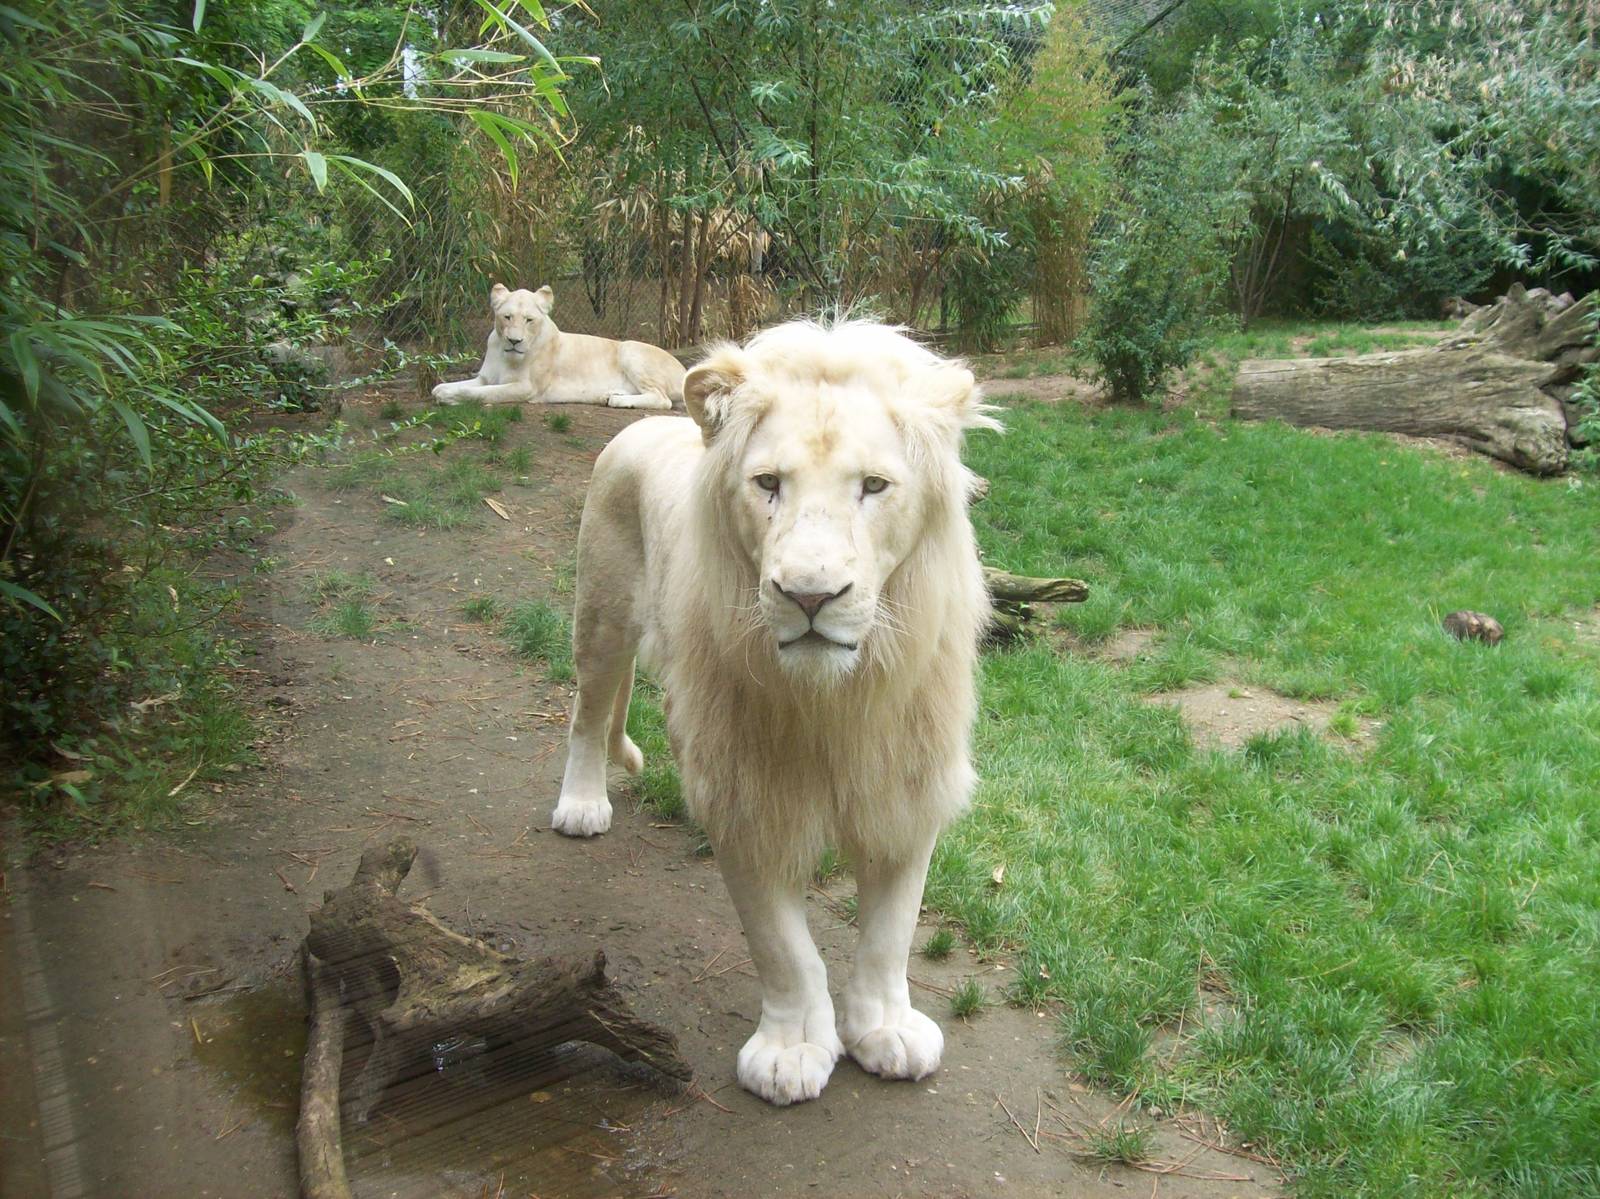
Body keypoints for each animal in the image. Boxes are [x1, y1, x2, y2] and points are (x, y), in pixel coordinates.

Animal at [432, 283, 684, 410]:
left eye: (529, 320)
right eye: (507, 317)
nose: (514, 341)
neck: (504, 354)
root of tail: (684, 370)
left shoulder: (527, 388)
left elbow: (482, 394)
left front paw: (447, 396)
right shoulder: (486, 377)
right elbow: (460, 385)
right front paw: (441, 389)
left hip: (630, 349)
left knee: (662, 399)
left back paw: (618, 400)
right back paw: (610, 394)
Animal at [551, 319, 998, 1106]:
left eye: (873, 486)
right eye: (768, 484)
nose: (810, 595)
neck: (833, 698)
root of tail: (643, 425)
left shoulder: (906, 781)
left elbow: (891, 932)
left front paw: (885, 1028)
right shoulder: (746, 792)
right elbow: (781, 945)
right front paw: (791, 1051)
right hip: (600, 617)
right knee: (588, 712)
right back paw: (581, 804)